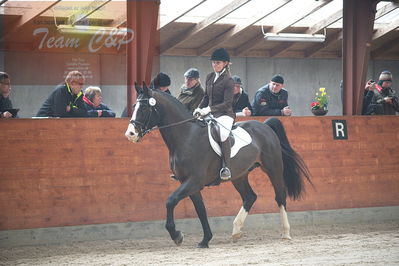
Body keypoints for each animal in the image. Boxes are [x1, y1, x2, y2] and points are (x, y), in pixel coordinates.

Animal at [125, 82, 312, 247]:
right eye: (134, 106)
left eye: (144, 108)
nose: (130, 134)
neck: (186, 137)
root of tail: (265, 126)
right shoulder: (190, 184)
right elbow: (201, 210)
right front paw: (205, 240)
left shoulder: (194, 181)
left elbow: (170, 201)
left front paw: (177, 235)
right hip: (239, 176)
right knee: (250, 197)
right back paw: (236, 231)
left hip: (273, 169)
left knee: (280, 196)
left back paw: (286, 233)